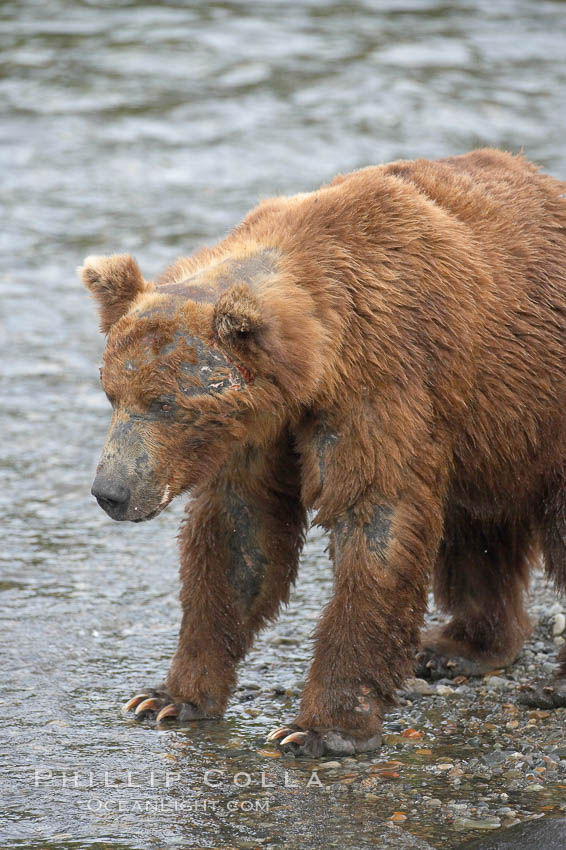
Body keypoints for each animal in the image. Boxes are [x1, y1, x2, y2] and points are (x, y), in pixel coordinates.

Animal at [82, 147, 566, 756]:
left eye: (163, 402)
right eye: (111, 392)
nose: (110, 491)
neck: (317, 365)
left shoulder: (384, 386)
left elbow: (375, 523)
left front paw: (319, 728)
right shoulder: (261, 427)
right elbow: (240, 536)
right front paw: (168, 697)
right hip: (487, 435)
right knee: (474, 531)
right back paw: (460, 647)